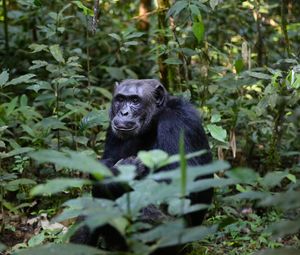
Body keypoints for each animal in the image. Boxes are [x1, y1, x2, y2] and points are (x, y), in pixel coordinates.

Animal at [70, 78, 212, 254]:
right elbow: (105, 163)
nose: (124, 113)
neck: (154, 120)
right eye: (120, 99)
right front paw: (116, 172)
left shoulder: (178, 123)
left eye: (135, 100)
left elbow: (179, 184)